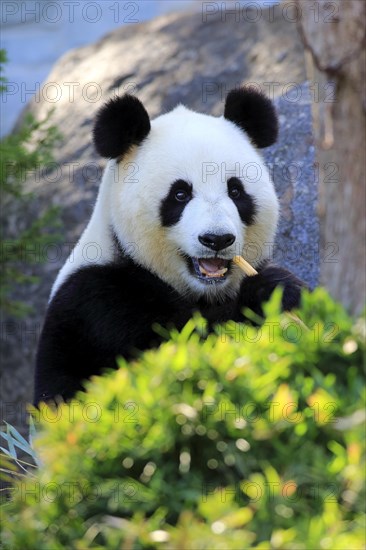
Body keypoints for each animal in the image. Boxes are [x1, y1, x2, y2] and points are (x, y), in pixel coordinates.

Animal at [33, 86, 304, 406]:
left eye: (236, 191)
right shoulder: (99, 303)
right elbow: (185, 348)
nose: (216, 239)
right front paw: (269, 291)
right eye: (180, 194)